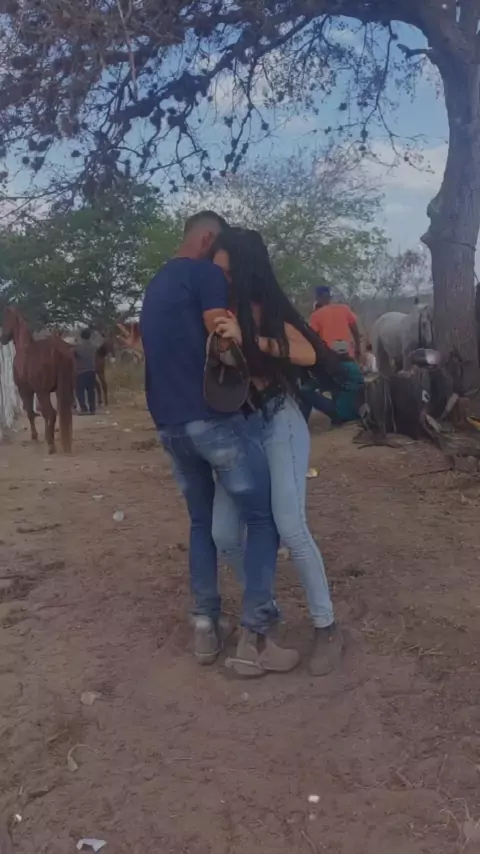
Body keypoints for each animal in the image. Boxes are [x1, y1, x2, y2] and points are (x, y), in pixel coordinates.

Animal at [0, 307, 75, 453]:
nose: (2, 339)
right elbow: (43, 414)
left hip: (43, 392)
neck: (25, 348)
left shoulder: (25, 391)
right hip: (63, 390)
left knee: (52, 413)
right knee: (63, 413)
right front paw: (47, 435)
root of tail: (59, 350)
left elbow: (31, 413)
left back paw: (51, 445)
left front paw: (36, 436)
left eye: (6, 319)